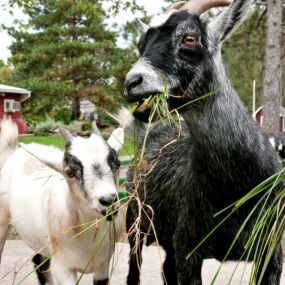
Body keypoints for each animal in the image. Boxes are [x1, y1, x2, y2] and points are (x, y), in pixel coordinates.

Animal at [0, 117, 123, 284]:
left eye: (117, 163)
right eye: (69, 172)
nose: (108, 200)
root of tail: (12, 153)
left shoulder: (103, 266)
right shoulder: (63, 268)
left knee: (39, 261)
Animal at [123, 0, 282, 284]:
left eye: (190, 38)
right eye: (141, 45)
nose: (132, 82)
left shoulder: (272, 252)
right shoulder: (188, 249)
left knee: (166, 268)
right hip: (135, 223)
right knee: (135, 268)